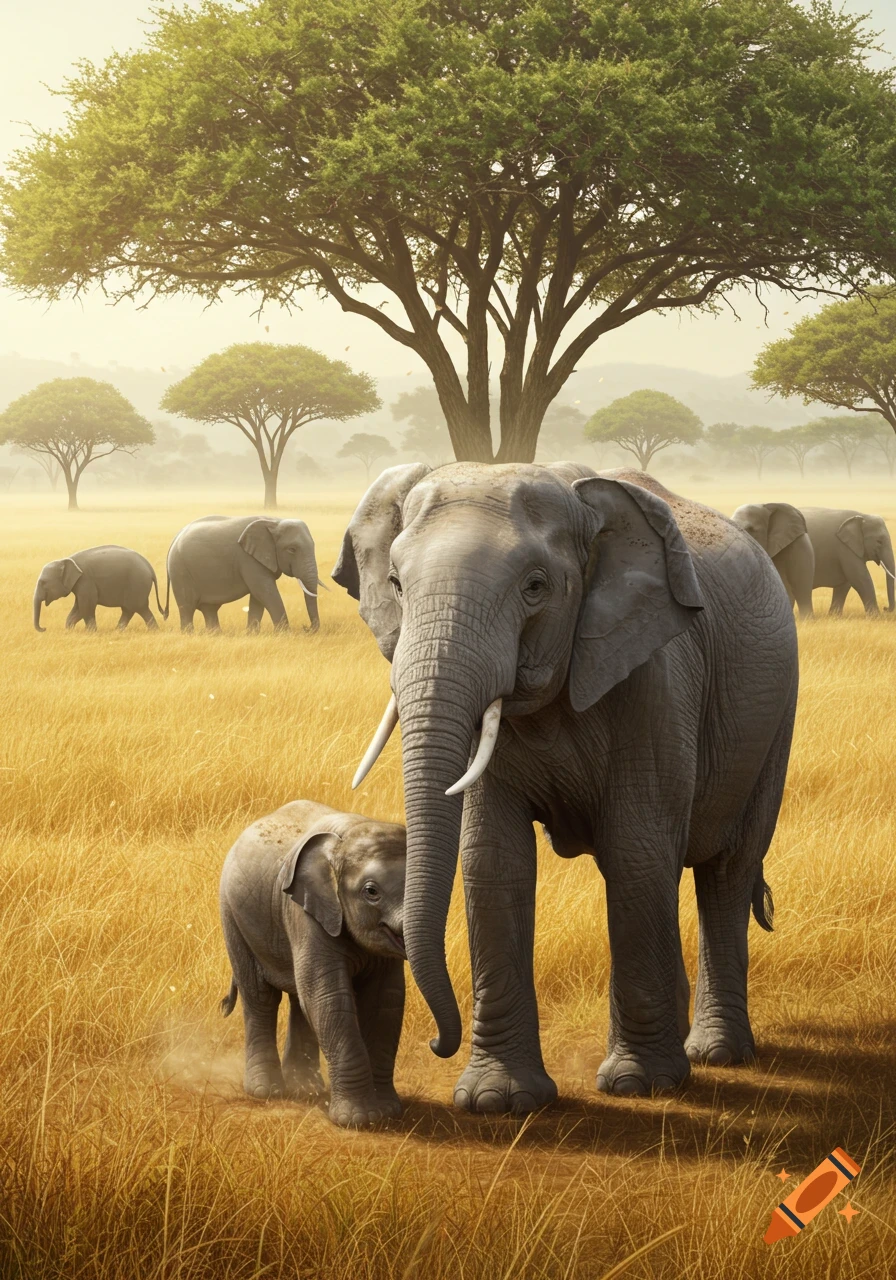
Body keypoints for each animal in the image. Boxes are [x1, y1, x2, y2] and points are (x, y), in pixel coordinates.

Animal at [33, 545, 166, 632]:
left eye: (43, 583)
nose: (44, 628)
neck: (67, 560)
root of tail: (150, 568)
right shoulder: (80, 585)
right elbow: (79, 607)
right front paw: (70, 630)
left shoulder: (86, 581)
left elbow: (86, 606)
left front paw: (90, 633)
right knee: (131, 610)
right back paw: (119, 631)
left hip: (137, 584)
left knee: (138, 608)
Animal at [166, 515, 322, 633]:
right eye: (292, 549)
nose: (306, 627)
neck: (274, 521)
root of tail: (176, 536)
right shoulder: (248, 559)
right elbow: (265, 592)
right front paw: (284, 634)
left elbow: (258, 598)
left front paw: (252, 635)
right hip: (180, 570)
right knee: (187, 607)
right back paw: (189, 634)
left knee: (209, 608)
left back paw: (215, 634)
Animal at [220, 800, 407, 1128]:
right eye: (371, 892)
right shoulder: (304, 910)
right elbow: (328, 996)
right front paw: (359, 1120)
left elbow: (386, 1000)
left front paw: (388, 1112)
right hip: (232, 914)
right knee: (260, 997)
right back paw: (266, 1091)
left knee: (299, 999)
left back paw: (305, 1089)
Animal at [333, 462, 798, 1113]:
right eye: (397, 584)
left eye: (536, 587)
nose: (434, 1043)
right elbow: (493, 860)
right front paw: (497, 1102)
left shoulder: (657, 677)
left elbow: (636, 852)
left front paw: (640, 1087)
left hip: (774, 717)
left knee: (727, 870)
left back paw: (716, 1055)